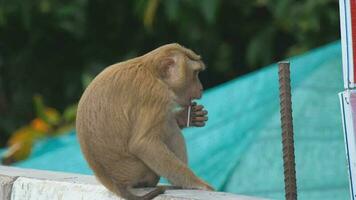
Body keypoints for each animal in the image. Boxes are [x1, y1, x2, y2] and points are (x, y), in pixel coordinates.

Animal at [76, 43, 213, 199]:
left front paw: (185, 117)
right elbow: (143, 143)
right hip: (139, 172)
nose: (201, 88)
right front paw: (199, 183)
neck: (153, 72)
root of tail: (117, 185)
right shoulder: (156, 95)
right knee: (168, 126)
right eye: (195, 73)